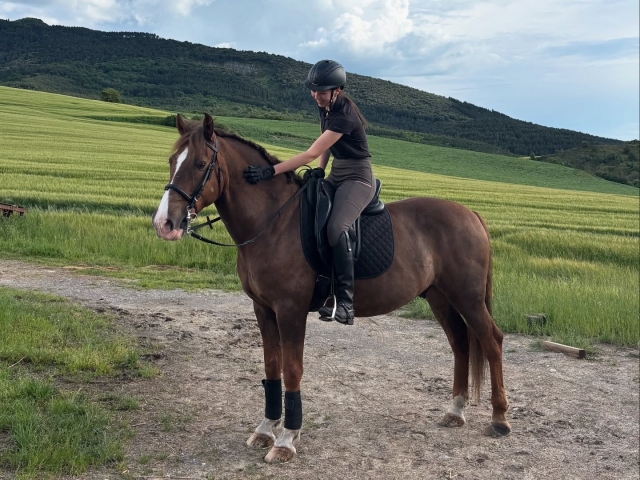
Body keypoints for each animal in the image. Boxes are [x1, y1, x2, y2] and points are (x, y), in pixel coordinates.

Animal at [152, 113, 510, 463]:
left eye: (200, 164)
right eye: (171, 160)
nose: (164, 224)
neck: (274, 222)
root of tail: (471, 214)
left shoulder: (291, 310)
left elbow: (292, 370)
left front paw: (286, 440)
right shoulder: (263, 309)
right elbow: (271, 368)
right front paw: (266, 429)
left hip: (468, 298)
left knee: (491, 341)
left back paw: (499, 418)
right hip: (440, 298)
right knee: (461, 343)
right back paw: (456, 410)